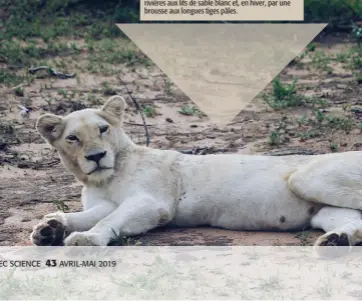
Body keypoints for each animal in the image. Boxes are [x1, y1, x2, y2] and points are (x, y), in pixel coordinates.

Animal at [30, 95, 362, 247]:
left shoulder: (153, 202)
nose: (97, 156)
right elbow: (84, 215)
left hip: (306, 178)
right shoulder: (106, 202)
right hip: (322, 208)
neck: (103, 179)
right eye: (73, 138)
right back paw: (335, 241)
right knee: (355, 222)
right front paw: (49, 229)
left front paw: (85, 239)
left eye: (103, 129)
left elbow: (110, 219)